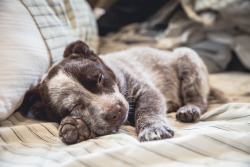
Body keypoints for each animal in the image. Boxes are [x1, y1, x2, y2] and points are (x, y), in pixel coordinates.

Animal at [18, 40, 211, 144]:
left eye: (99, 78)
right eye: (75, 106)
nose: (116, 111)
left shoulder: (145, 91)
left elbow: (147, 110)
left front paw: (153, 129)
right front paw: (77, 128)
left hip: (186, 56)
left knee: (200, 99)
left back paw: (189, 108)